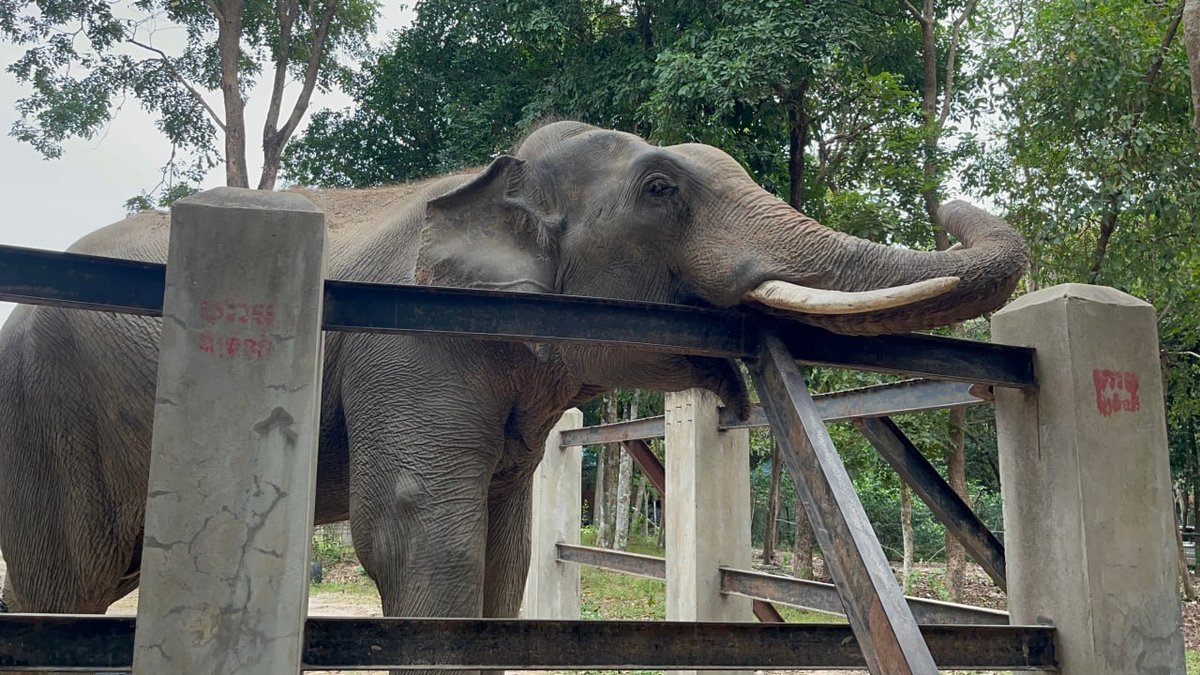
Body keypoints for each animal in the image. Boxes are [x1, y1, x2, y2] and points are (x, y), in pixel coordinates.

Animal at [0, 121, 1027, 644]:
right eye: (661, 189)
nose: (947, 200)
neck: (490, 176)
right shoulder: (409, 342)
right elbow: (422, 534)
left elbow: (503, 552)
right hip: (44, 415)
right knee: (68, 584)